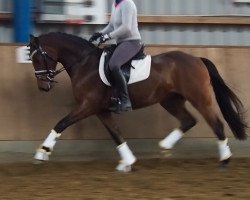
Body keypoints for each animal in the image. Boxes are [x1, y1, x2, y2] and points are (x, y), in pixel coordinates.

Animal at [27, 32, 248, 172]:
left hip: (199, 98)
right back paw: (165, 146)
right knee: (188, 120)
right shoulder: (100, 110)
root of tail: (197, 59)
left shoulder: (87, 106)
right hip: (170, 100)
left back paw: (225, 160)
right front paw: (127, 162)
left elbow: (61, 123)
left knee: (216, 124)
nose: (43, 87)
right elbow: (116, 134)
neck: (84, 64)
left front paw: (42, 152)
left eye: (37, 59)